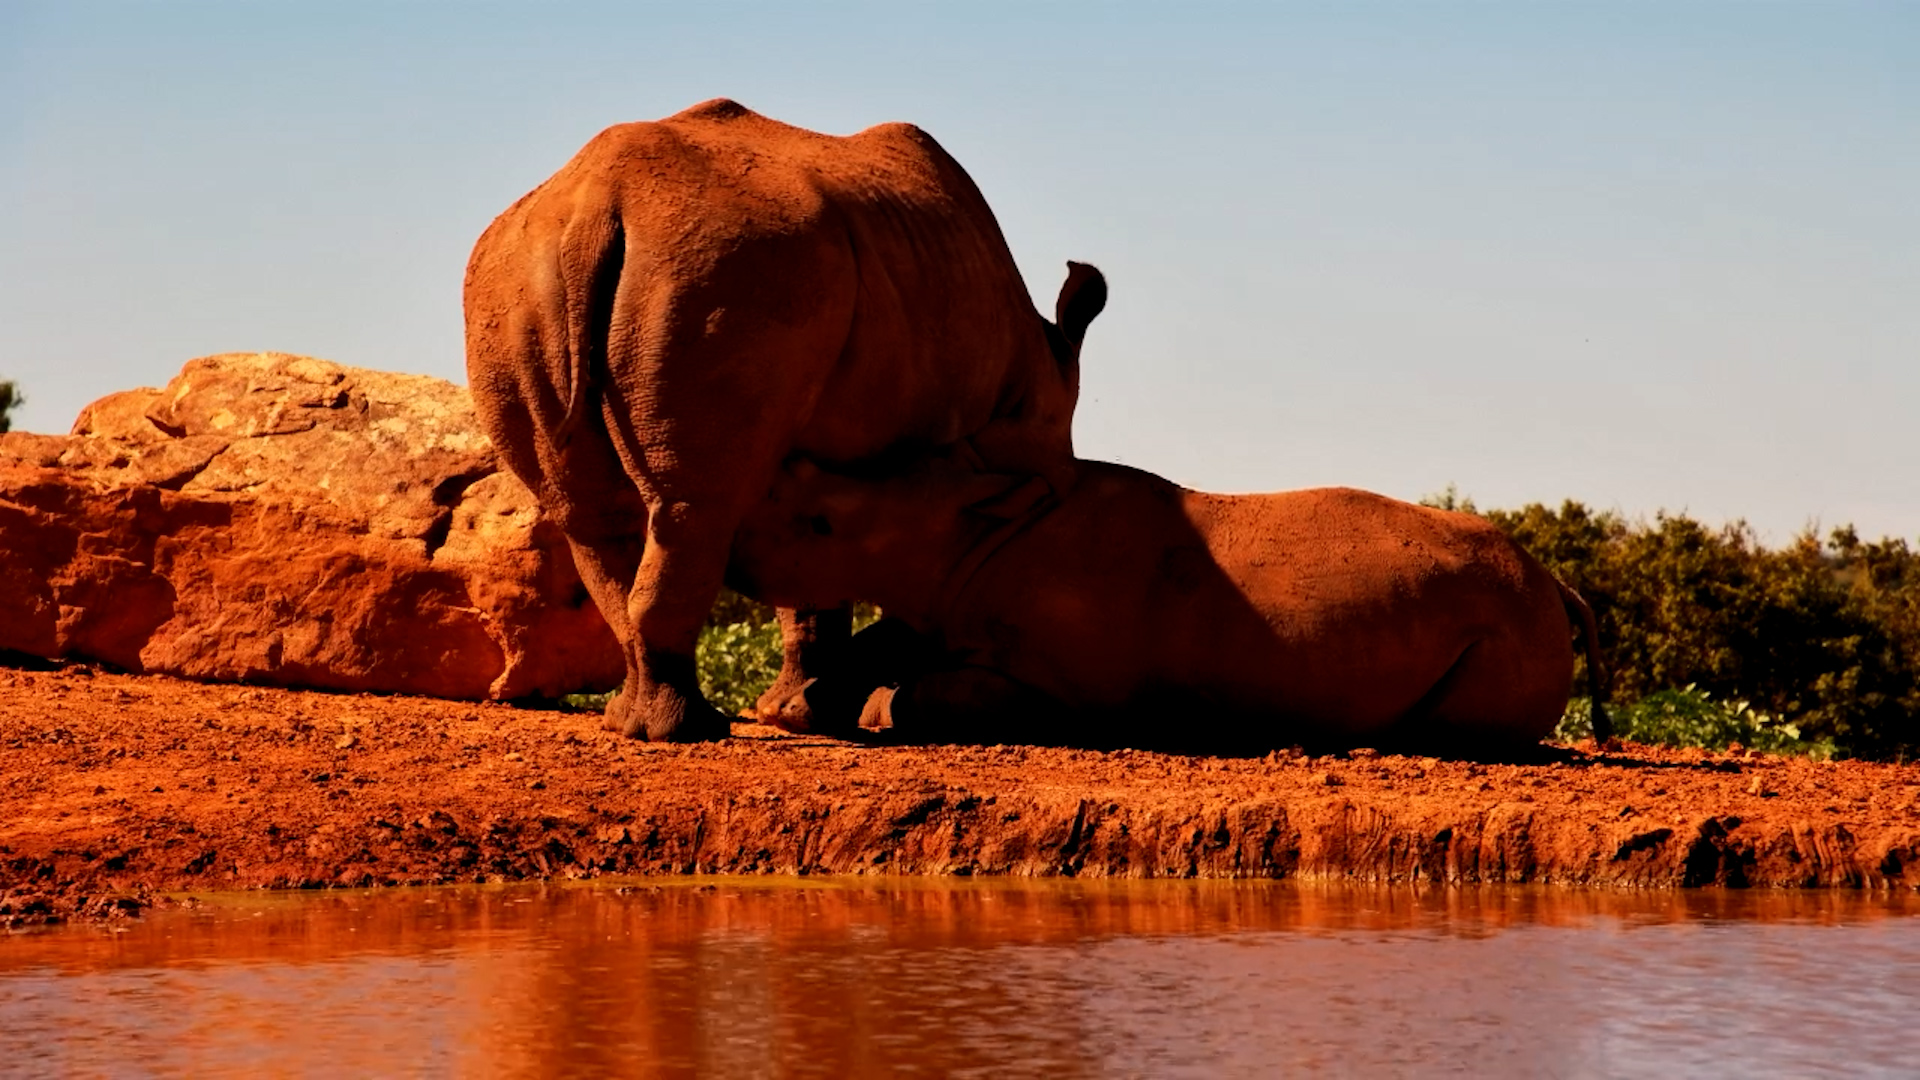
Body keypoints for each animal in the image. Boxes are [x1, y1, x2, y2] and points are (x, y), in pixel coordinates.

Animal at [464, 99, 1105, 740]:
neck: (1041, 370)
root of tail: (596, 204)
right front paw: (820, 711)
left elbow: (814, 570)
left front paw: (796, 715)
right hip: (729, 270)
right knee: (695, 508)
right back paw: (690, 728)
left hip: (522, 282)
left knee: (592, 518)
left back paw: (633, 721)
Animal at [730, 447, 1614, 755]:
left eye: (821, 522)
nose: (736, 558)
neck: (964, 531)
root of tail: (1553, 581)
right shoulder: (941, 602)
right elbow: (888, 644)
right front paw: (799, 711)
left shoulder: (1071, 685)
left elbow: (935, 691)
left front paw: (877, 712)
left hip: (1510, 624)